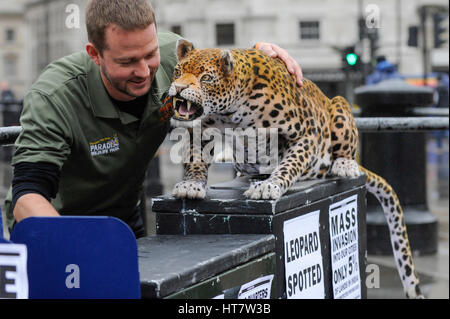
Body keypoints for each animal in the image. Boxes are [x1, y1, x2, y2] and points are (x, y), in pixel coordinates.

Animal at [170, 40, 426, 300]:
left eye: (206, 78)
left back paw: (343, 164)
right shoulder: (200, 130)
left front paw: (270, 186)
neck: (230, 113)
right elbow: (195, 158)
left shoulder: (305, 133)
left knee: (342, 146)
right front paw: (192, 184)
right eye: (178, 72)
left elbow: (290, 164)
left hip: (338, 104)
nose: (178, 89)